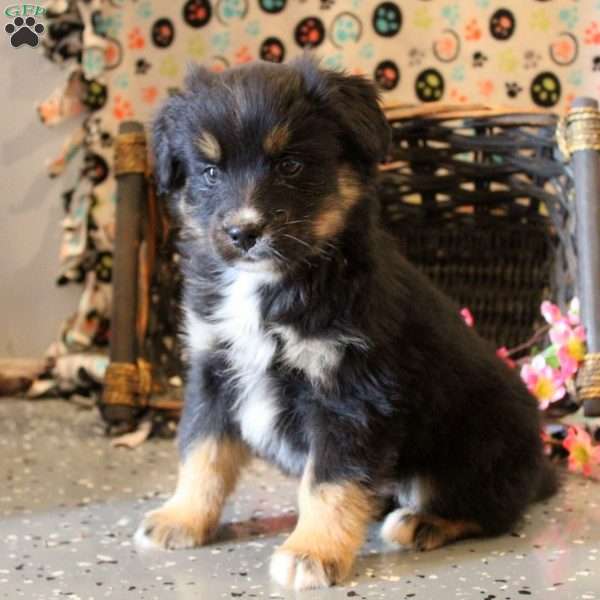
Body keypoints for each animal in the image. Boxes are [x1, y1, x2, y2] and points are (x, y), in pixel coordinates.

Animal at [136, 56, 556, 592]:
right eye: (209, 171)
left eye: (290, 165)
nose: (243, 232)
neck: (275, 284)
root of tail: (540, 465)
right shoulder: (214, 370)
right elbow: (202, 451)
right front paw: (181, 518)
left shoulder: (352, 392)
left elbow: (329, 481)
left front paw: (311, 552)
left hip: (474, 449)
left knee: (491, 510)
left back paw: (420, 523)